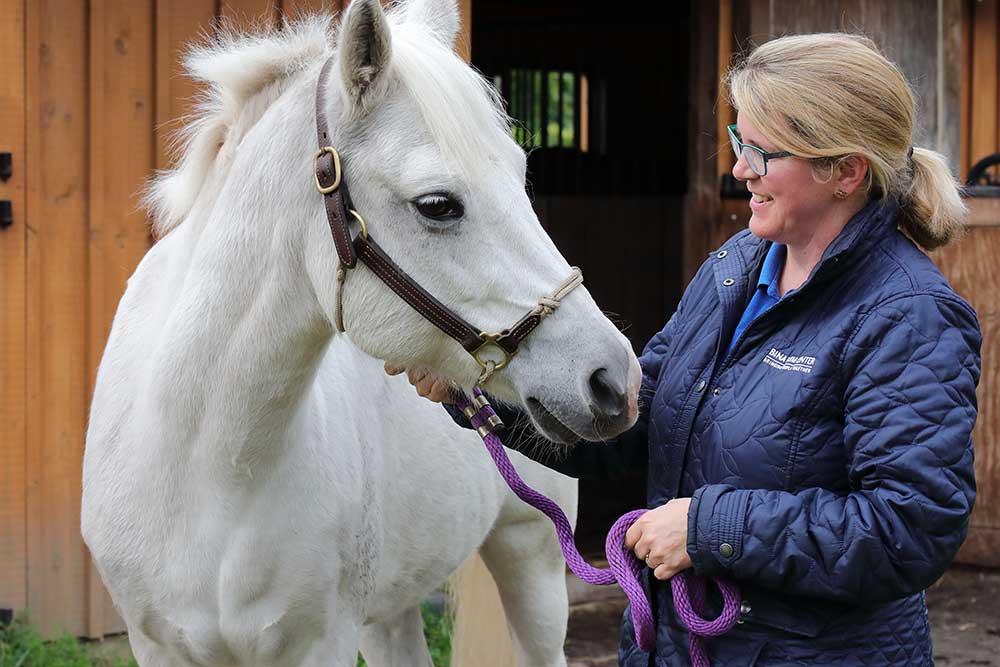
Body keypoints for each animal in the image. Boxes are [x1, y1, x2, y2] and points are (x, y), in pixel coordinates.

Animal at [81, 1, 641, 665]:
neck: (206, 468)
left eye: (520, 172)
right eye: (437, 204)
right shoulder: (157, 644)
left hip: (532, 554)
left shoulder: (321, 643)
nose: (614, 379)